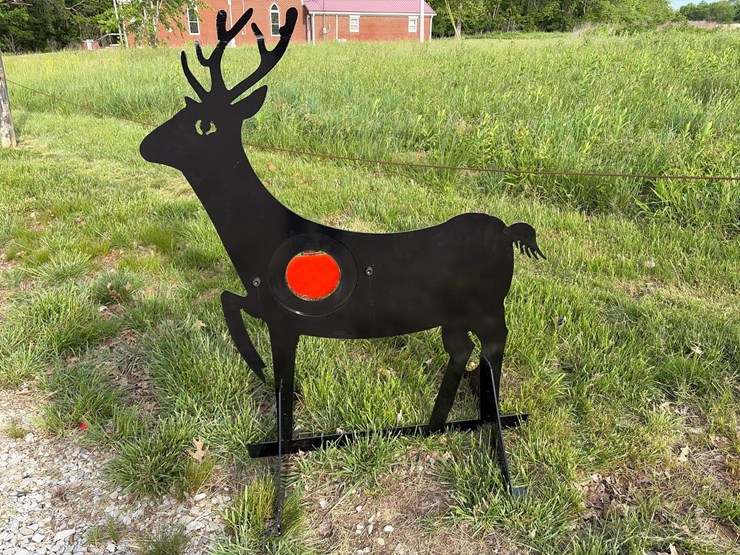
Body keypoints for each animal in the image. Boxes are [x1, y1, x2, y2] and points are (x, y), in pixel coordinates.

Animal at [140, 5, 544, 527]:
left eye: (202, 124)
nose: (146, 145)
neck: (260, 238)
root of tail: (509, 231)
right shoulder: (261, 301)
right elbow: (230, 301)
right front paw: (259, 379)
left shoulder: (284, 319)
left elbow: (280, 379)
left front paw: (276, 510)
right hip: (451, 315)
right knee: (462, 352)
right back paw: (436, 423)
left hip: (489, 305)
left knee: (494, 350)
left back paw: (501, 456)